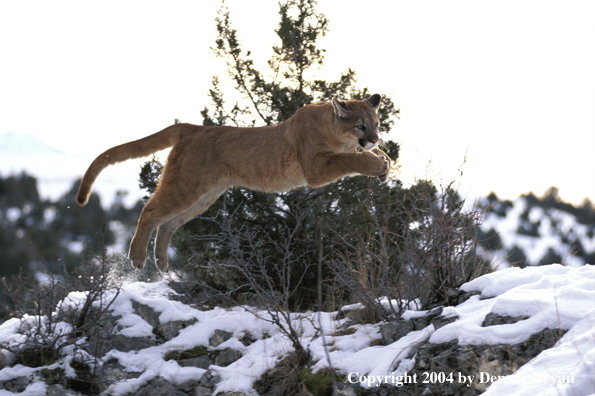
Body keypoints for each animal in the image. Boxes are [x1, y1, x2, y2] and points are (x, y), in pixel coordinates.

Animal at [77, 94, 394, 270]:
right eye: (361, 126)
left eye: (377, 124)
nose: (375, 138)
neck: (333, 128)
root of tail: (193, 128)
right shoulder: (315, 167)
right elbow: (349, 160)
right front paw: (377, 163)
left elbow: (361, 155)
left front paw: (384, 162)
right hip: (186, 187)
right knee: (150, 212)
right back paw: (138, 257)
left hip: (205, 196)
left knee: (168, 223)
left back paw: (162, 262)